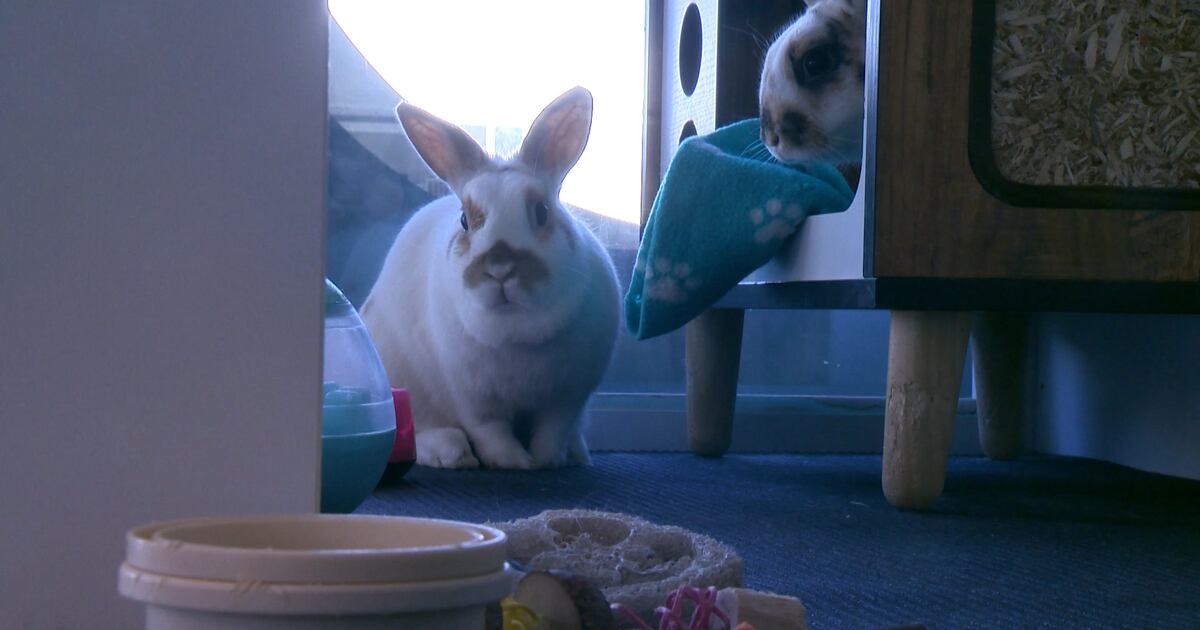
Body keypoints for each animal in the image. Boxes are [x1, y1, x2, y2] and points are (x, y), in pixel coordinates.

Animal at [360, 86, 620, 470]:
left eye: (542, 212)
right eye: (465, 220)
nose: (500, 269)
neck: (519, 334)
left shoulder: (567, 398)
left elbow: (552, 430)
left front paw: (546, 461)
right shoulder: (474, 401)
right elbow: (491, 433)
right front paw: (515, 463)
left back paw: (577, 455)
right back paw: (452, 453)